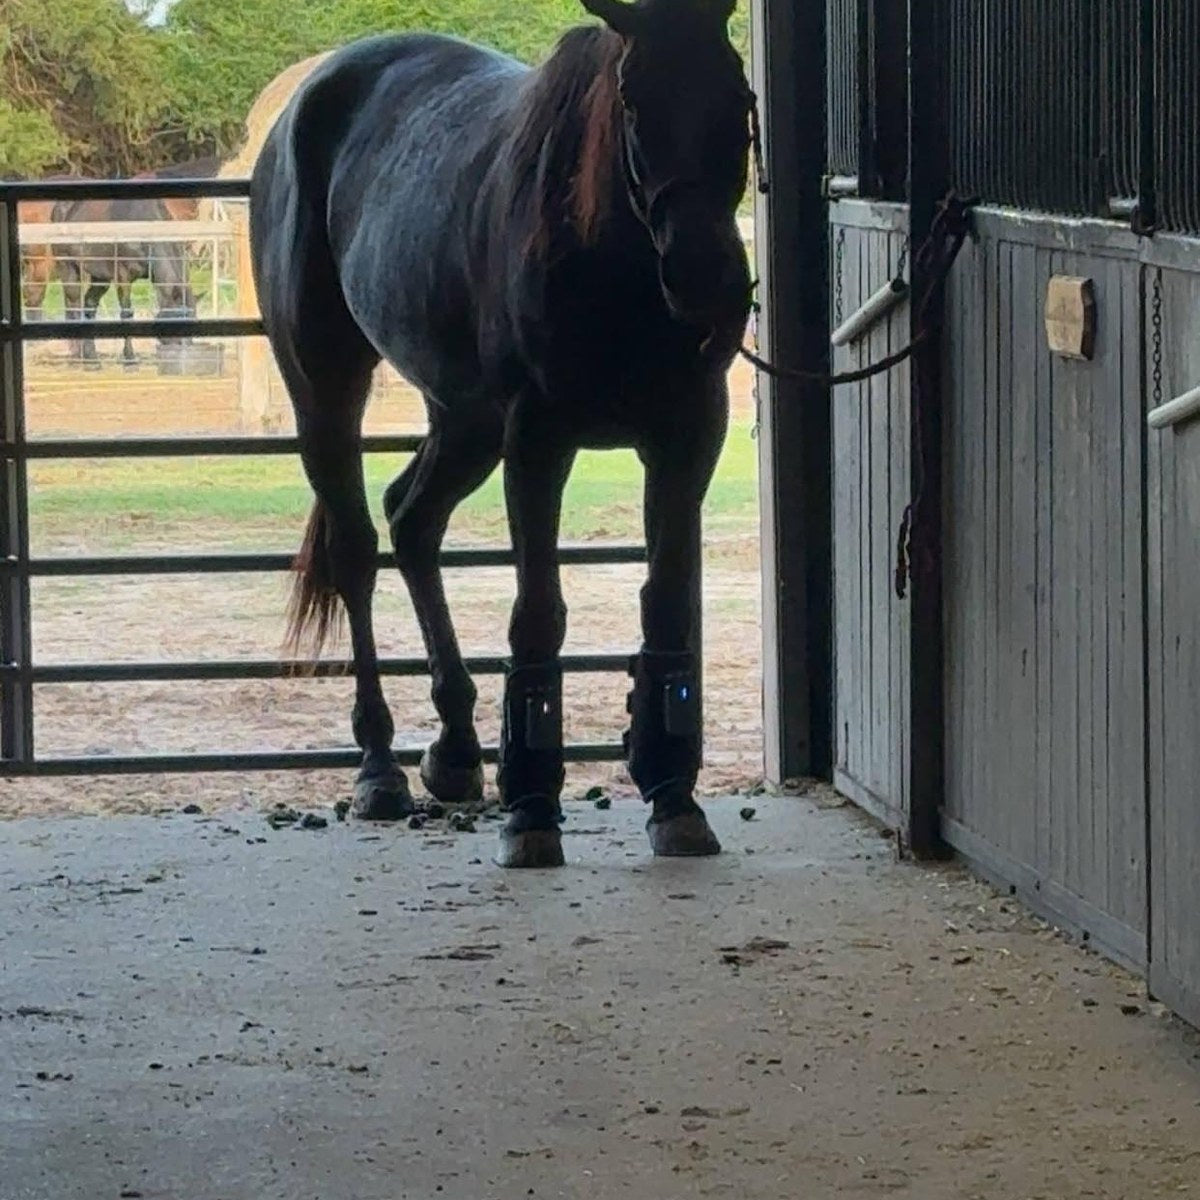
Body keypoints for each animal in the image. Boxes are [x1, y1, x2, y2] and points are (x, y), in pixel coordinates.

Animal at [51, 195, 196, 366]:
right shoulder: (123, 276)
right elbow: (126, 313)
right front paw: (129, 358)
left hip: (100, 278)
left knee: (89, 306)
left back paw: (91, 356)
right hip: (68, 269)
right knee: (74, 307)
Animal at [250, 0, 753, 868]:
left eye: (741, 95)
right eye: (633, 101)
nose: (708, 281)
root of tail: (300, 108)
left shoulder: (689, 436)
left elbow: (663, 604)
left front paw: (672, 796)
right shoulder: (538, 439)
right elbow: (538, 613)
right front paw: (532, 811)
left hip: (465, 417)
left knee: (413, 519)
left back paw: (454, 747)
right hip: (326, 391)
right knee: (356, 549)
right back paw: (379, 767)